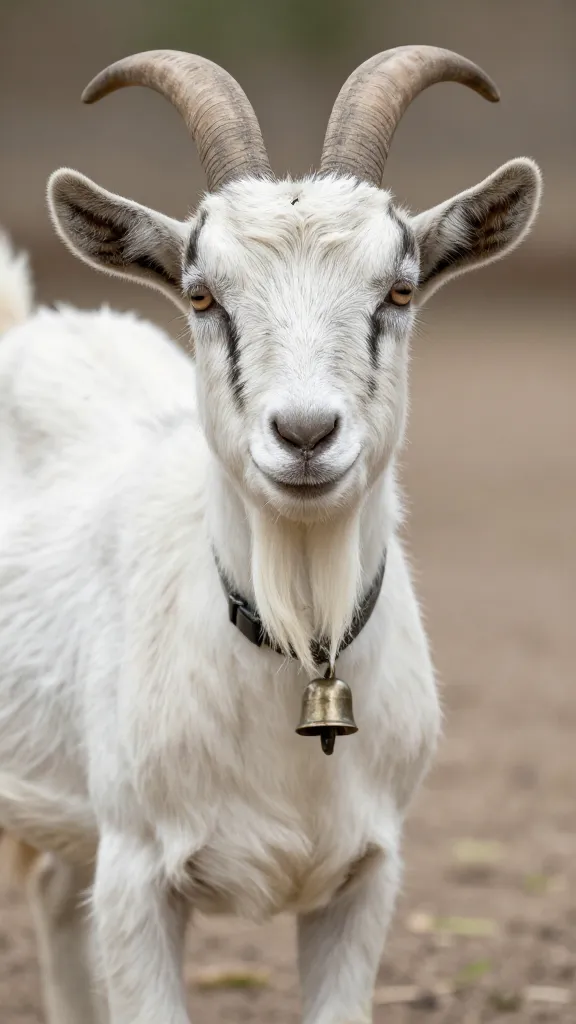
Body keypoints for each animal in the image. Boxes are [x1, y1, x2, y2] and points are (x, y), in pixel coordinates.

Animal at [0, 46, 541, 1024]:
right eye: (202, 294)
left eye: (399, 288)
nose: (305, 433)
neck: (300, 639)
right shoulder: (137, 876)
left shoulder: (368, 880)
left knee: (56, 893)